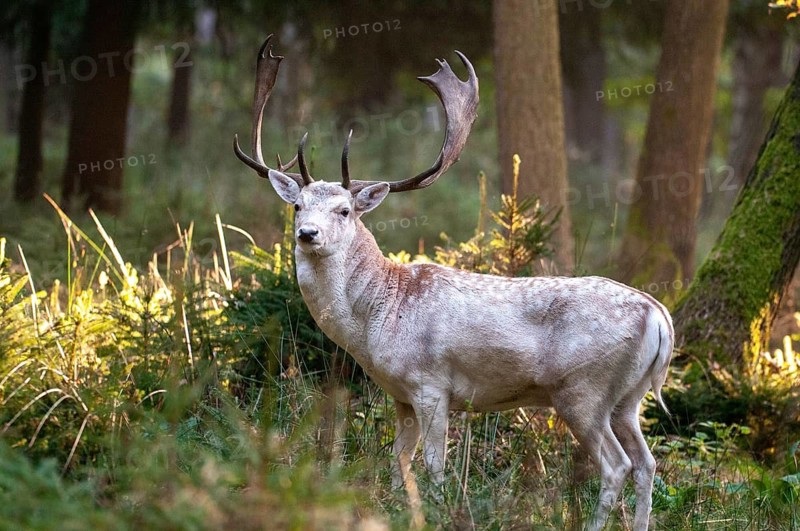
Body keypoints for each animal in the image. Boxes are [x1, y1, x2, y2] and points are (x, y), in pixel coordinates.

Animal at [233, 36, 673, 531]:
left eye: (344, 210)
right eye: (297, 207)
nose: (308, 234)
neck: (376, 319)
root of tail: (659, 315)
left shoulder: (430, 385)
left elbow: (434, 466)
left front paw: (442, 511)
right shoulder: (401, 396)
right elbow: (398, 463)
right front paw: (404, 511)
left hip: (584, 390)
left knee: (617, 465)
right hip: (628, 398)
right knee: (647, 462)